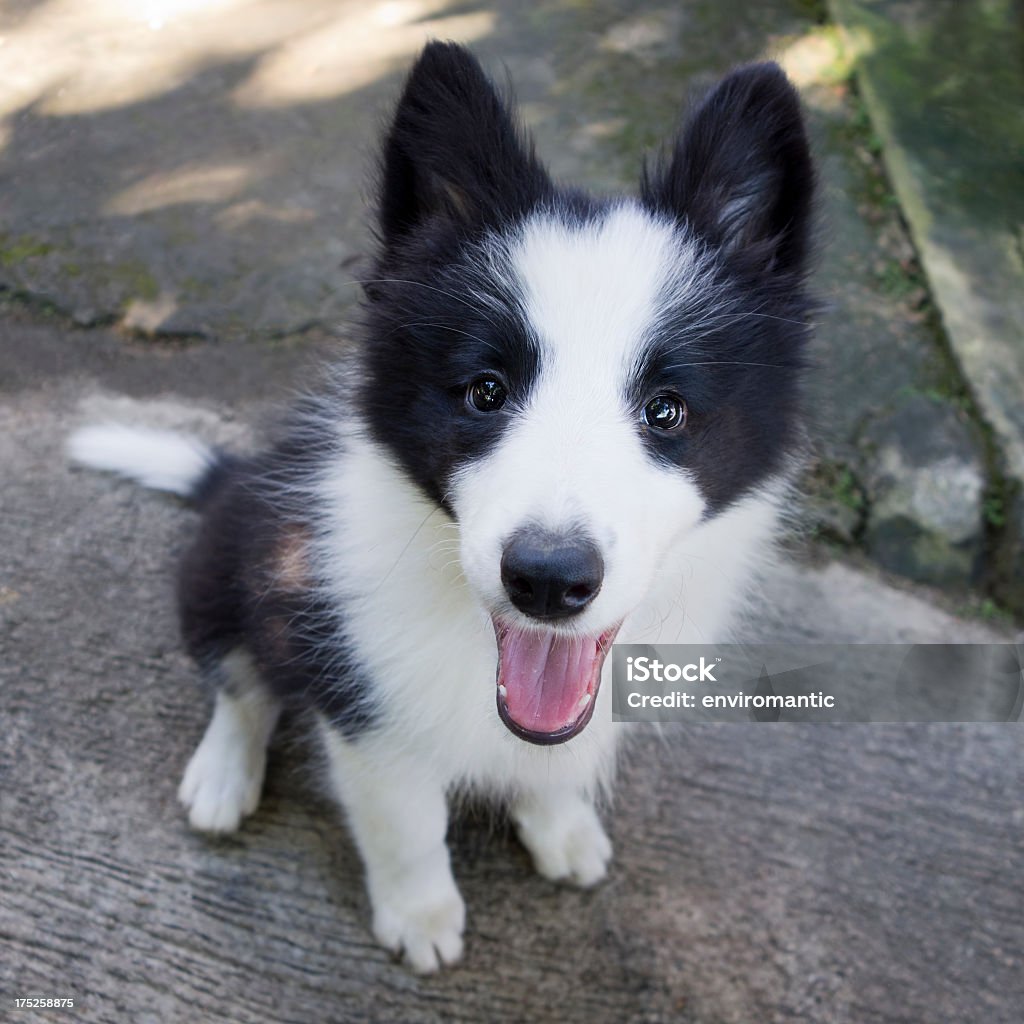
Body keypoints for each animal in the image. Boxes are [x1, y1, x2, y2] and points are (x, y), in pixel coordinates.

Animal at [68, 44, 815, 974]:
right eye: (485, 392)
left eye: (667, 410)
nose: (547, 581)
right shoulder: (366, 704)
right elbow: (407, 824)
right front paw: (420, 915)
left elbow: (557, 765)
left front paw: (561, 827)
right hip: (229, 566)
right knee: (239, 680)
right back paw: (223, 774)